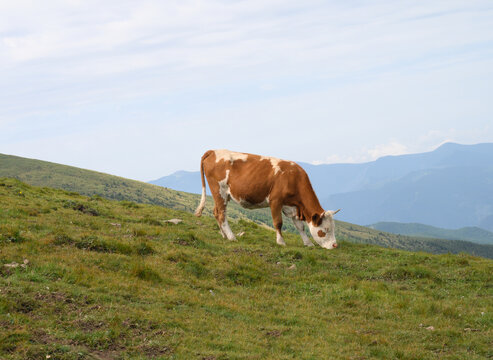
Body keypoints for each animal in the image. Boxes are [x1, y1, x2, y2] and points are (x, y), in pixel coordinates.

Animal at [194, 148, 340, 248]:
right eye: (325, 230)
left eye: (333, 228)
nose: (335, 245)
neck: (293, 177)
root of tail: (213, 151)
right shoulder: (275, 201)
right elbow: (278, 223)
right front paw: (281, 242)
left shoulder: (292, 206)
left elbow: (300, 226)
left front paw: (308, 243)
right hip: (220, 191)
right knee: (221, 214)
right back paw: (231, 237)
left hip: (220, 194)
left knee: (216, 212)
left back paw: (224, 235)